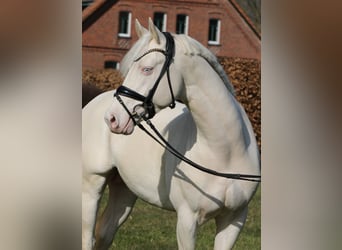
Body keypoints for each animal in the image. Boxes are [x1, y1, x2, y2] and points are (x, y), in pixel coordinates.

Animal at [82, 18, 260, 249]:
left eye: (147, 69)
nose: (113, 118)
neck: (226, 152)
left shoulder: (234, 220)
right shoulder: (187, 220)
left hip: (124, 190)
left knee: (104, 232)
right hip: (91, 186)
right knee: (88, 236)